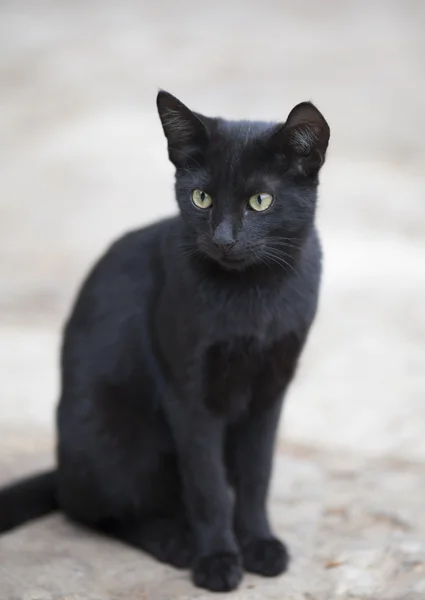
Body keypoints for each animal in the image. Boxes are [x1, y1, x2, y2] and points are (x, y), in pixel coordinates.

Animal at [0, 91, 328, 592]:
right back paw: (175, 541)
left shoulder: (270, 391)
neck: (253, 300)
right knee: (96, 511)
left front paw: (259, 544)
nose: (223, 239)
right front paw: (218, 559)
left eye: (260, 201)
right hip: (111, 436)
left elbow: (256, 477)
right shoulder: (189, 395)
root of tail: (62, 466)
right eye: (201, 197)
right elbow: (208, 486)